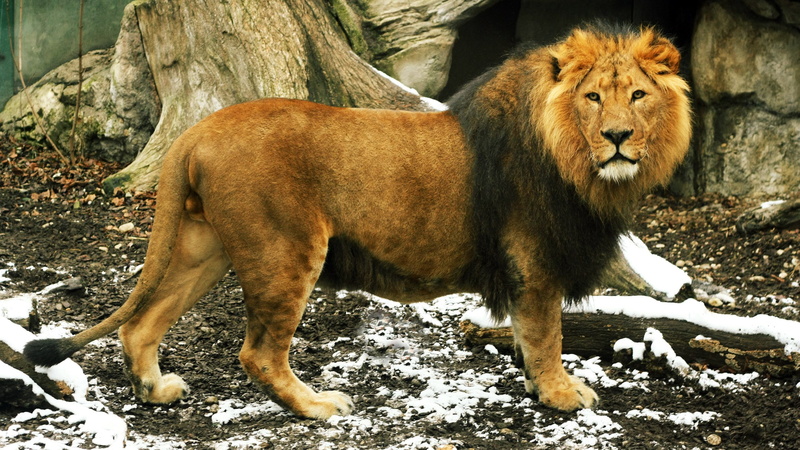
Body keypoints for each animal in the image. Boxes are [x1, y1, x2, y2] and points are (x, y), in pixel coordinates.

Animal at [25, 24, 691, 419]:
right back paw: (317, 406)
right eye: (593, 97)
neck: (576, 162)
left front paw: (539, 387)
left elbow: (531, 338)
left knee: (142, 324)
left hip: (204, 246)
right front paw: (561, 396)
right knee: (258, 353)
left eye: (637, 96)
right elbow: (547, 334)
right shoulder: (534, 258)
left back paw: (155, 389)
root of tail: (197, 129)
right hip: (285, 250)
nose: (618, 138)